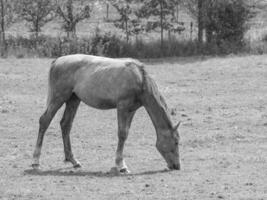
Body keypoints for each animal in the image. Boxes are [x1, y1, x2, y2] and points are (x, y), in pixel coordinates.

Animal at [32, 54, 181, 173]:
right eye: (176, 142)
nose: (177, 166)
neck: (139, 79)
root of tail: (57, 61)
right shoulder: (123, 107)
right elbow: (122, 134)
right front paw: (121, 166)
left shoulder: (131, 110)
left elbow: (126, 134)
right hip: (58, 98)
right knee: (44, 121)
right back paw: (35, 162)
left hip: (73, 100)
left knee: (65, 124)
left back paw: (73, 161)